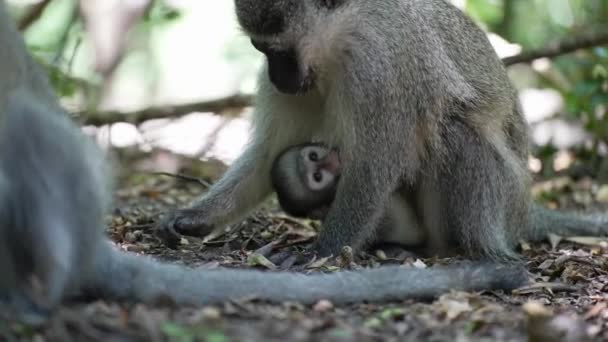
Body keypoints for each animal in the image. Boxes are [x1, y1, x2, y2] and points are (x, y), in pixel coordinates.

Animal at [0, 0, 524, 324]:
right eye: (260, 50)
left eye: (275, 49)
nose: (275, 76)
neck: (341, 35)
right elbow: (268, 155)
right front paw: (193, 217)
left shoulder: (377, 65)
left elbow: (376, 163)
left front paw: (322, 251)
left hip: (495, 199)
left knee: (454, 132)